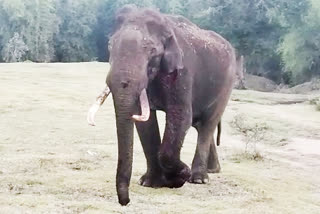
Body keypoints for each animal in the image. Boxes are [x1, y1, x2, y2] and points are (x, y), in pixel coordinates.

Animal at [87, 5, 235, 206]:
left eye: (151, 51)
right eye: (110, 46)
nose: (125, 201)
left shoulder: (182, 72)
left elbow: (180, 116)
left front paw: (179, 176)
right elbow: (144, 121)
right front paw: (149, 183)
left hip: (226, 85)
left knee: (208, 124)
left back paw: (198, 178)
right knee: (201, 125)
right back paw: (212, 171)